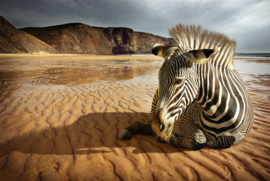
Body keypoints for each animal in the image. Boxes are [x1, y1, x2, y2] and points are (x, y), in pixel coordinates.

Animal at [118, 24, 253, 150]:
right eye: (159, 79)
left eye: (178, 81)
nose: (157, 126)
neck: (217, 114)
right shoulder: (185, 119)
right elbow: (199, 139)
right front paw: (170, 137)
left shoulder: (241, 133)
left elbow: (225, 140)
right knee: (146, 125)